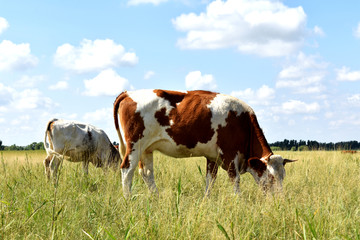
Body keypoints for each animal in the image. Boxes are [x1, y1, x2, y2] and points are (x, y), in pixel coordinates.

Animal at [114, 90, 294, 197]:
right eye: (271, 177)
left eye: (283, 176)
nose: (280, 200)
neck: (243, 122)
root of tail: (128, 93)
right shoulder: (230, 155)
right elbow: (235, 181)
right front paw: (239, 202)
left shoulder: (213, 157)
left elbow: (210, 180)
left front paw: (206, 200)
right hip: (134, 145)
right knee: (127, 170)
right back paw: (128, 199)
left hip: (146, 149)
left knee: (147, 173)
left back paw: (156, 197)